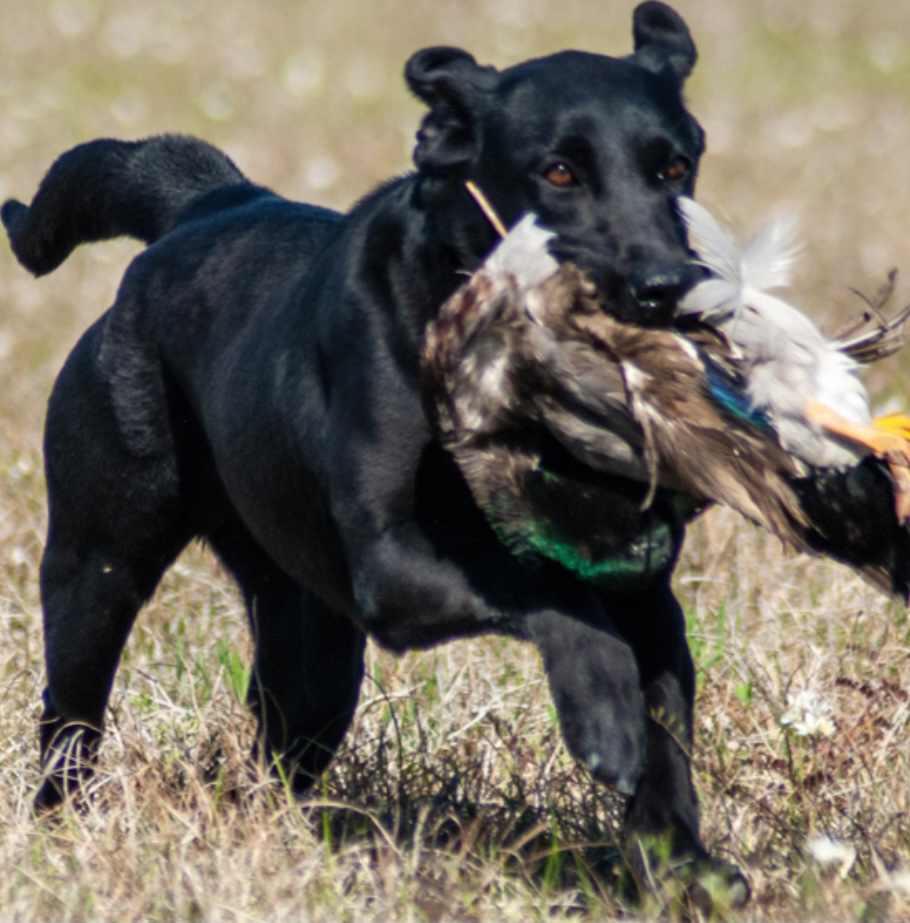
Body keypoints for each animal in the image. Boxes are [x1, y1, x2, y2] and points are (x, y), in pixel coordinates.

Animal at [3, 0, 748, 904]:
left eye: (674, 166)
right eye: (559, 173)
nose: (665, 287)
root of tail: (213, 203)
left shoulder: (641, 585)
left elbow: (665, 737)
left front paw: (681, 868)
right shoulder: (394, 560)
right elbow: (548, 591)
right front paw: (603, 715)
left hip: (313, 637)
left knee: (281, 746)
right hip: (99, 563)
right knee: (69, 717)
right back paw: (60, 827)